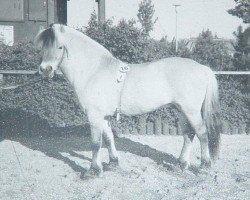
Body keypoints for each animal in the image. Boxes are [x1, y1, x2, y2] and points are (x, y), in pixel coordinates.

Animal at [34, 24, 221, 177]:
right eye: (42, 47)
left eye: (59, 46)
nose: (45, 70)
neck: (94, 70)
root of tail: (203, 68)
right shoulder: (103, 116)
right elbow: (108, 138)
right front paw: (113, 163)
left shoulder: (94, 116)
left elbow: (95, 143)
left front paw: (93, 171)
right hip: (181, 110)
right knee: (188, 134)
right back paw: (180, 166)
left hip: (191, 111)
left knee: (202, 133)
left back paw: (204, 167)